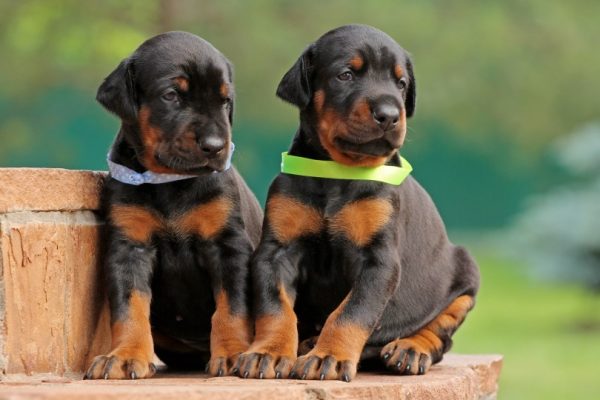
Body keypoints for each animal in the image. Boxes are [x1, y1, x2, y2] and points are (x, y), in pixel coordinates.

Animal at [234, 24, 478, 382]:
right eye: (346, 75)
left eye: (401, 83)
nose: (390, 115)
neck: (337, 172)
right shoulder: (276, 251)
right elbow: (275, 307)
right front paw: (269, 352)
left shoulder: (378, 260)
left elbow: (351, 312)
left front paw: (329, 357)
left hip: (465, 273)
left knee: (441, 334)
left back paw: (410, 348)